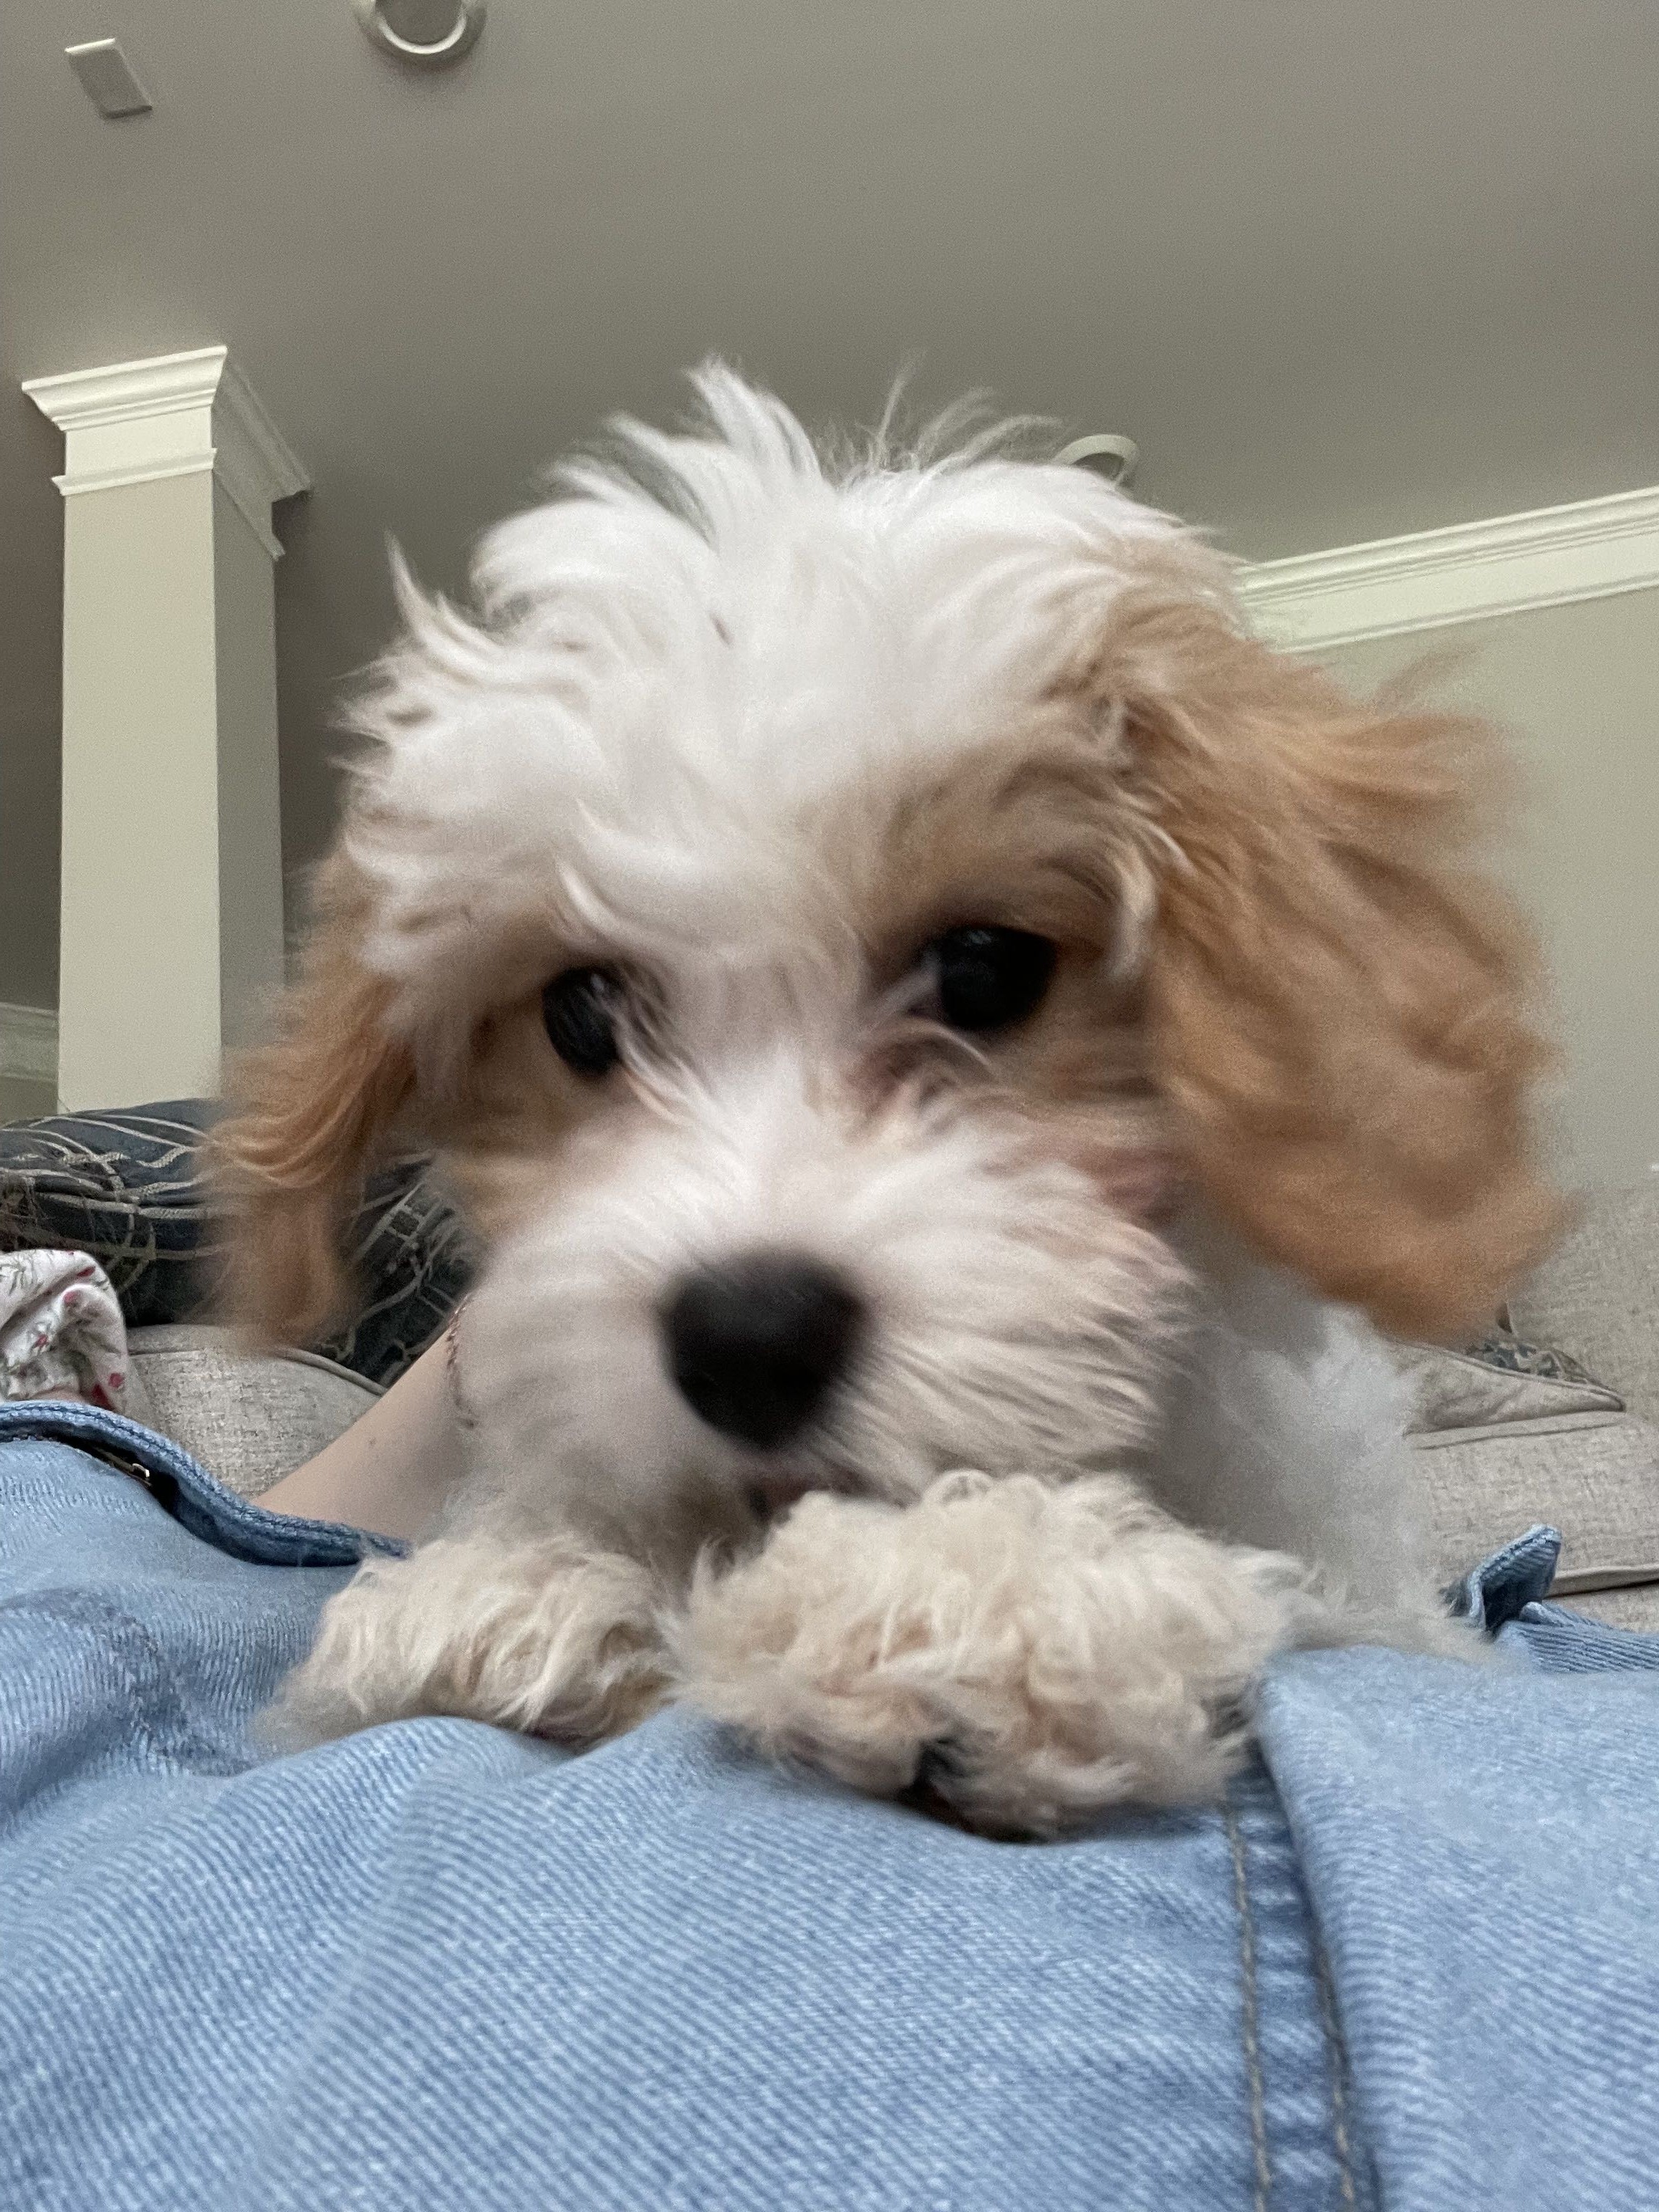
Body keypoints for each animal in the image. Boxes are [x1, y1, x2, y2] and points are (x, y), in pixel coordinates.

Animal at [218, 367, 1560, 1834]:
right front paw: (524, 1586)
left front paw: (980, 1586)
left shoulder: (1371, 1591)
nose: (746, 1338)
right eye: (582, 1013)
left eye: (982, 969)